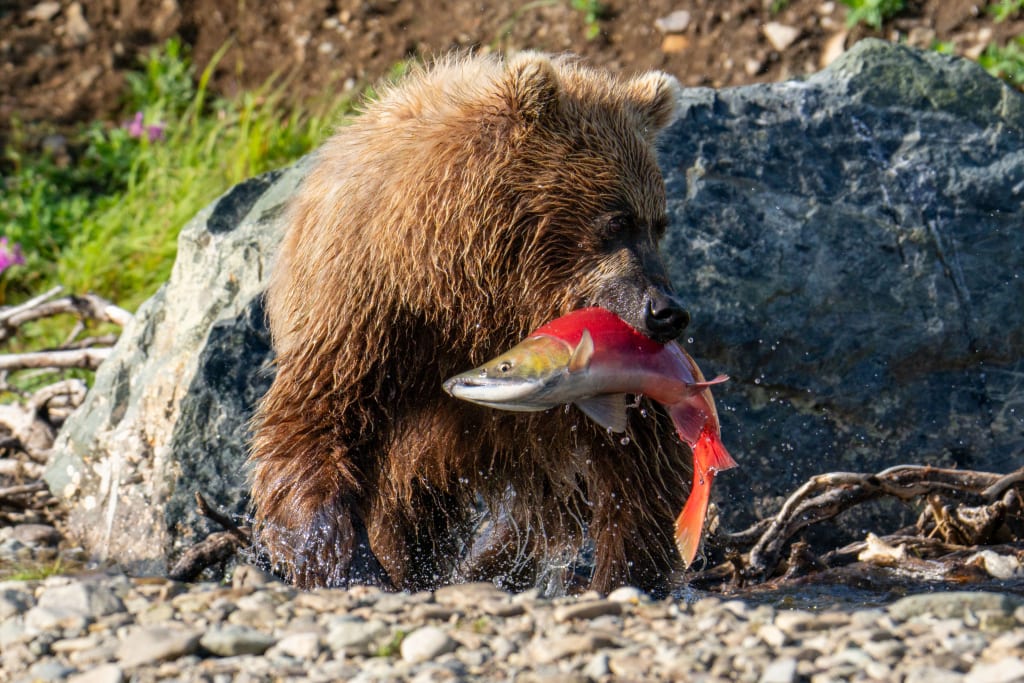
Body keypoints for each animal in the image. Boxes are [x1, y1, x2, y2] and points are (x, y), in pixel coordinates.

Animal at [249, 52, 694, 597]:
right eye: (617, 221)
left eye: (659, 223)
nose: (667, 311)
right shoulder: (369, 314)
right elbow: (313, 424)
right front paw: (347, 560)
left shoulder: (590, 360)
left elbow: (639, 459)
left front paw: (624, 572)